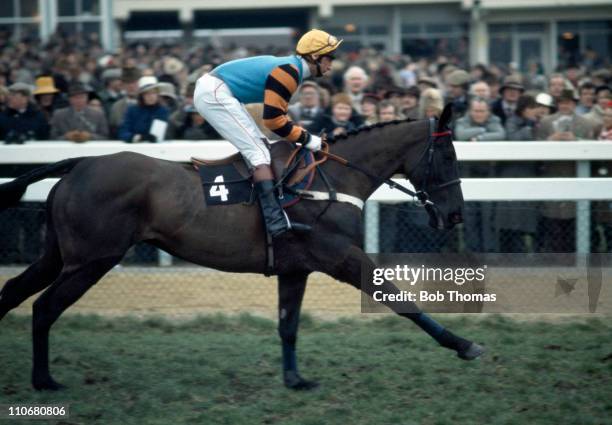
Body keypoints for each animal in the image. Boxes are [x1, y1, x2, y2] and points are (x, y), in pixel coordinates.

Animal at [0, 104, 482, 390]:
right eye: (449, 157)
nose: (456, 215)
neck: (331, 180)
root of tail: (78, 162)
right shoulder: (339, 256)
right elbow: (399, 300)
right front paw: (463, 344)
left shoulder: (296, 267)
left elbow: (288, 325)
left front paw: (294, 378)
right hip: (90, 260)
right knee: (43, 307)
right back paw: (44, 380)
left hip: (59, 255)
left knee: (13, 293)